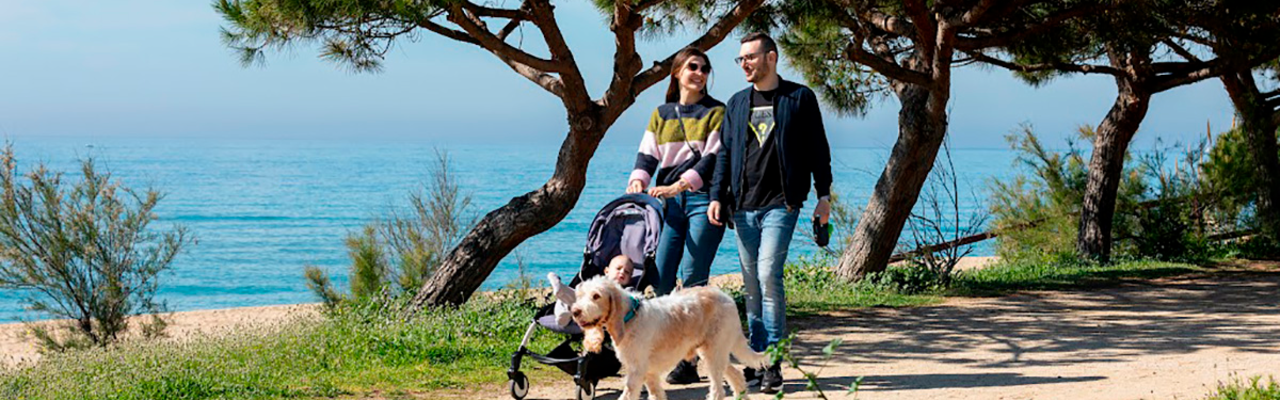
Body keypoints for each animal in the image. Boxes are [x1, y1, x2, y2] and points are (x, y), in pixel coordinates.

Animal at [573, 276, 768, 397]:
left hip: (714, 354)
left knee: (718, 391)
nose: (575, 311)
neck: (631, 318)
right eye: (580, 295)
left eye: (596, 296)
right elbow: (656, 395)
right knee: (737, 375)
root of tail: (728, 299)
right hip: (713, 353)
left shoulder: (636, 372)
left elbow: (627, 396)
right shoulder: (649, 373)